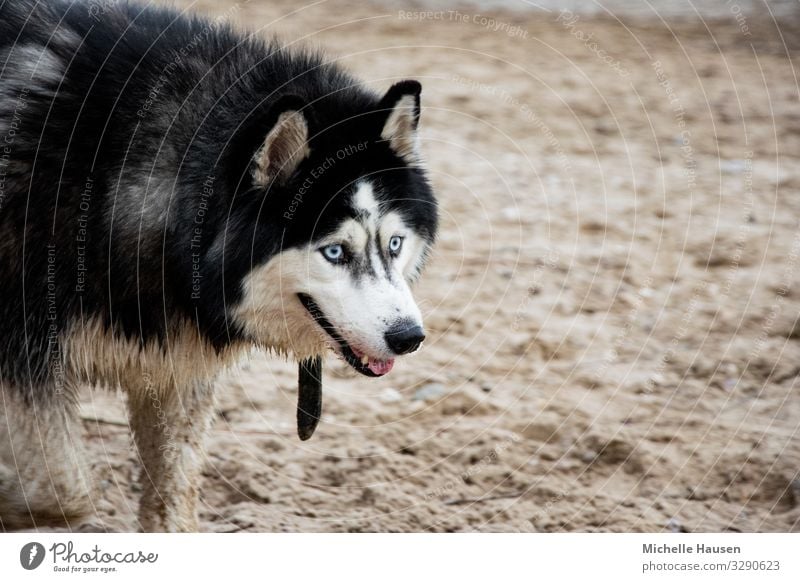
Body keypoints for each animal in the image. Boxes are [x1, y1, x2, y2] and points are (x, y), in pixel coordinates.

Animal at [0, 0, 438, 532]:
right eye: (335, 251)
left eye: (394, 243)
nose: (409, 337)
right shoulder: (24, 353)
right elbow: (62, 489)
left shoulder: (172, 365)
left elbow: (174, 496)